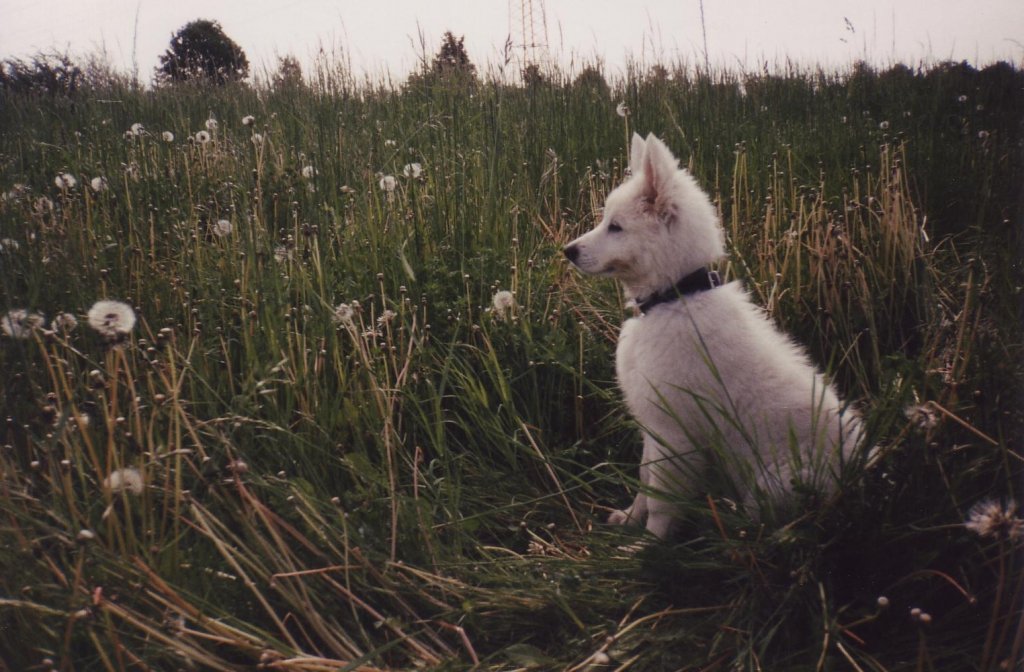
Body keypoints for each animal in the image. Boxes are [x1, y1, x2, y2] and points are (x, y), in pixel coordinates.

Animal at [564, 133, 861, 539]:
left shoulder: (674, 430)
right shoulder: (653, 425)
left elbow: (661, 499)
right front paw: (629, 519)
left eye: (616, 227)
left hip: (776, 482)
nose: (567, 251)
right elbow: (644, 479)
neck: (676, 297)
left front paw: (648, 545)